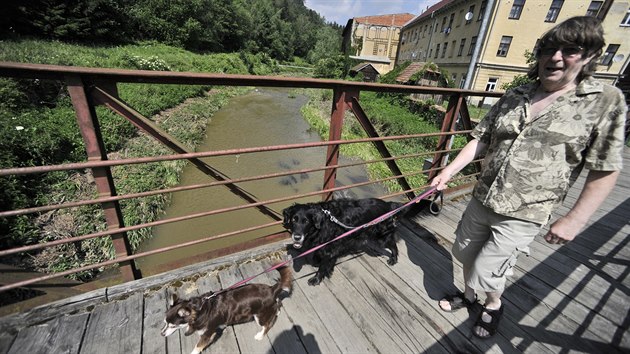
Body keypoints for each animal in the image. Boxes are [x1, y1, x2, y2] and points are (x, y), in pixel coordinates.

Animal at [162, 266, 292, 354]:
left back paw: (260, 335)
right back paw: (277, 311)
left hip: (259, 316)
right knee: (277, 304)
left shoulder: (207, 334)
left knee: (267, 325)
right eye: (165, 323)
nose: (161, 334)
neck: (199, 309)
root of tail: (272, 289)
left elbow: (197, 347)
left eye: (172, 326)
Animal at [282, 196, 434, 284]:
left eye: (306, 221)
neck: (323, 221)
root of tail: (388, 205)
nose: (296, 237)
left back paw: (393, 259)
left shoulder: (330, 248)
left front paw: (317, 278)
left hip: (382, 236)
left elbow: (323, 265)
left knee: (393, 244)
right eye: (294, 220)